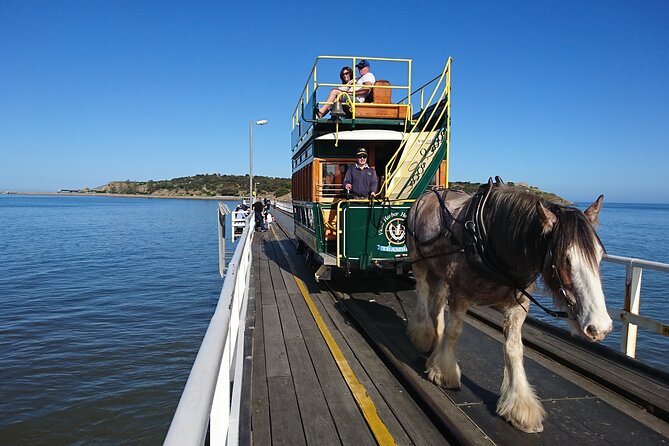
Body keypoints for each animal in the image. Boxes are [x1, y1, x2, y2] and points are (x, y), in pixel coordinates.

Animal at [404, 179, 612, 434]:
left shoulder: (518, 306)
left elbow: (514, 349)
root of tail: (428, 194)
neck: (487, 238)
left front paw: (520, 407)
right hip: (418, 260)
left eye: (600, 255)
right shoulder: (461, 294)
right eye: (566, 258)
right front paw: (444, 372)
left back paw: (436, 334)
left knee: (439, 298)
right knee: (423, 292)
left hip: (441, 269)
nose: (599, 327)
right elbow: (455, 332)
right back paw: (423, 334)